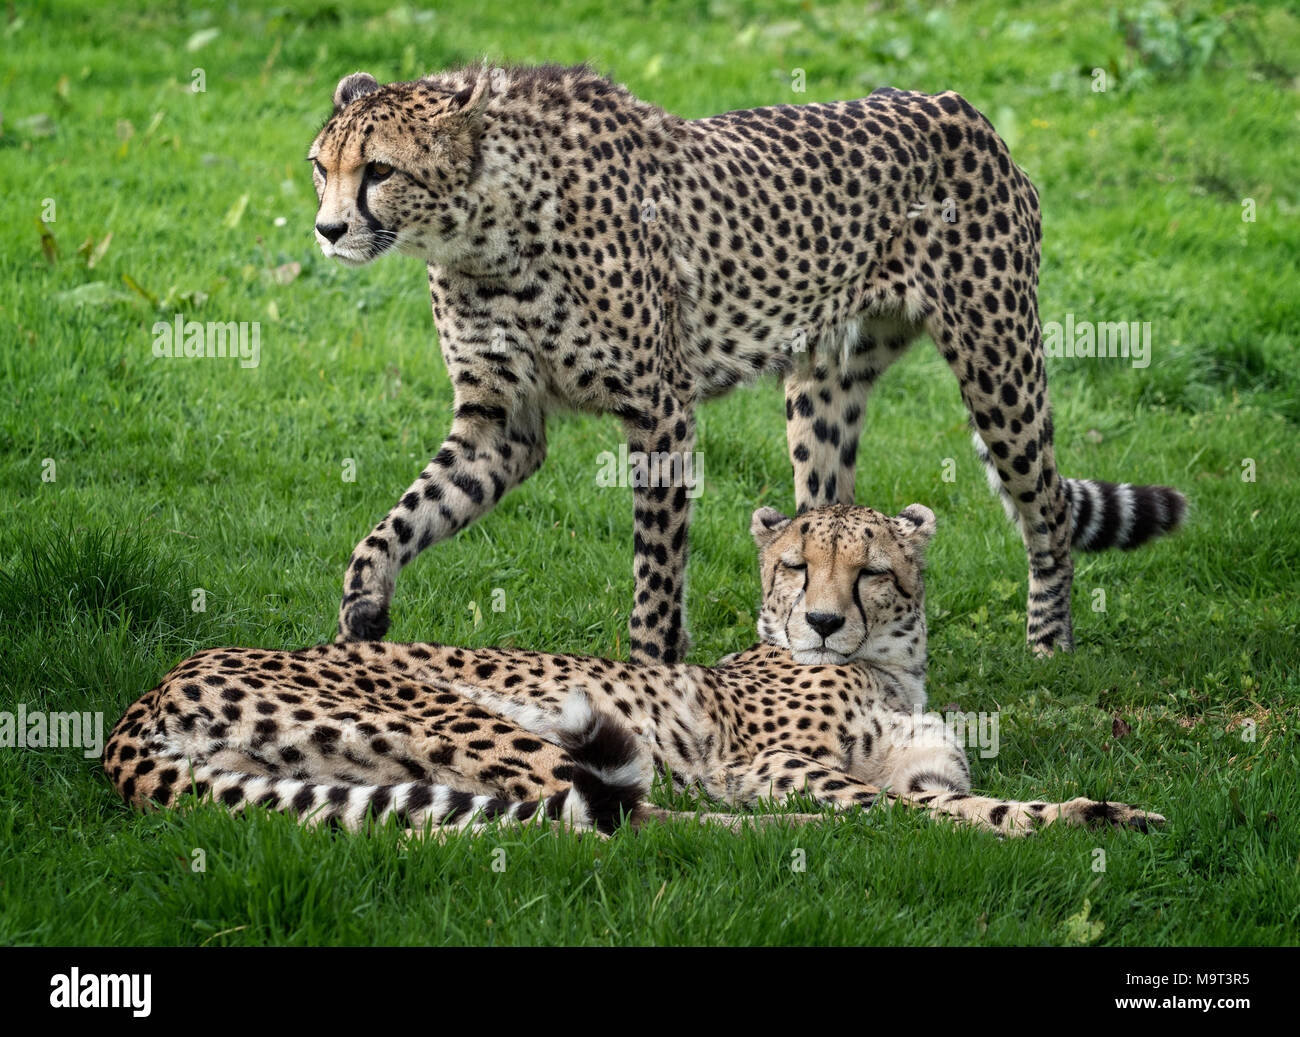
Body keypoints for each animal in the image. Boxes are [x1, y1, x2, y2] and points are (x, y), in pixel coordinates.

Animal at [98, 504, 1159, 836]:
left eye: (869, 570)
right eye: (794, 565)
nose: (821, 621)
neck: (890, 667)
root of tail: (148, 690)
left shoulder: (931, 768)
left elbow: (975, 801)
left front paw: (1098, 814)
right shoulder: (766, 766)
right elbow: (896, 807)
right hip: (479, 720)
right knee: (633, 819)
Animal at [309, 64, 1185, 662]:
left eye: (379, 170)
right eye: (323, 167)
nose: (326, 229)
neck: (482, 228)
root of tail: (956, 104)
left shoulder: (658, 411)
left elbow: (657, 574)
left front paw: (651, 674)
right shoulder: (503, 422)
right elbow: (399, 520)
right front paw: (362, 614)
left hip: (997, 360)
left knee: (1047, 506)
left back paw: (1048, 644)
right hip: (826, 383)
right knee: (829, 523)